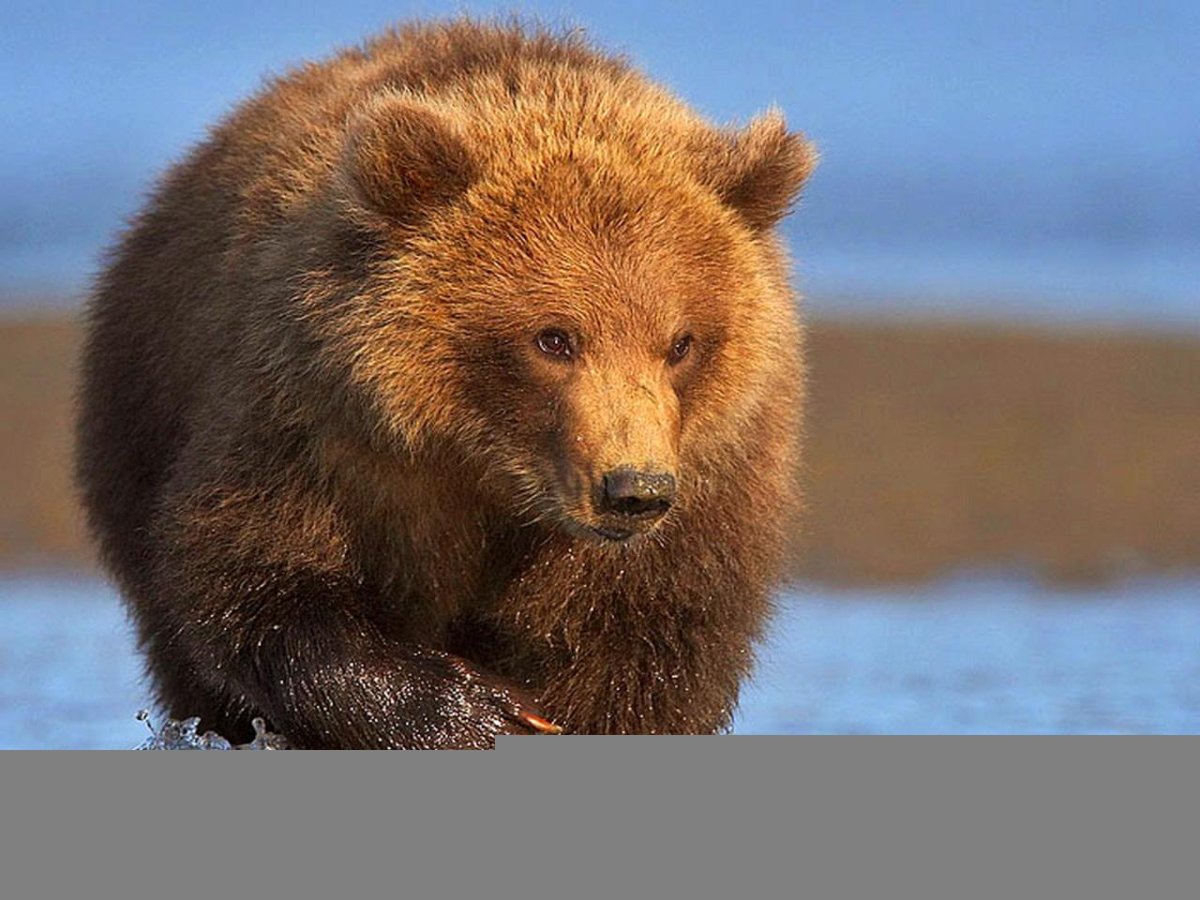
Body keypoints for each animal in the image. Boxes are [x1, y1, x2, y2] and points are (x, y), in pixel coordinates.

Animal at [76, 18, 815, 748]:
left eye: (681, 342)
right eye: (553, 337)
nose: (633, 489)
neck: (489, 468)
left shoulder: (707, 488)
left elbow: (652, 654)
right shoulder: (311, 422)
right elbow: (257, 578)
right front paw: (482, 715)